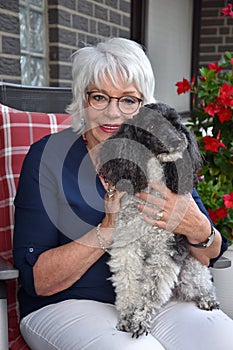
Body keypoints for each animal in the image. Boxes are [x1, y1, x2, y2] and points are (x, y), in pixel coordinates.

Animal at [97, 102, 219, 338]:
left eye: (176, 124)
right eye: (152, 126)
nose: (178, 141)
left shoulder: (168, 249)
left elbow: (151, 290)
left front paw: (140, 320)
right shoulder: (127, 246)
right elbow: (128, 283)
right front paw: (127, 316)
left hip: (190, 270)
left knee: (202, 282)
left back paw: (207, 298)